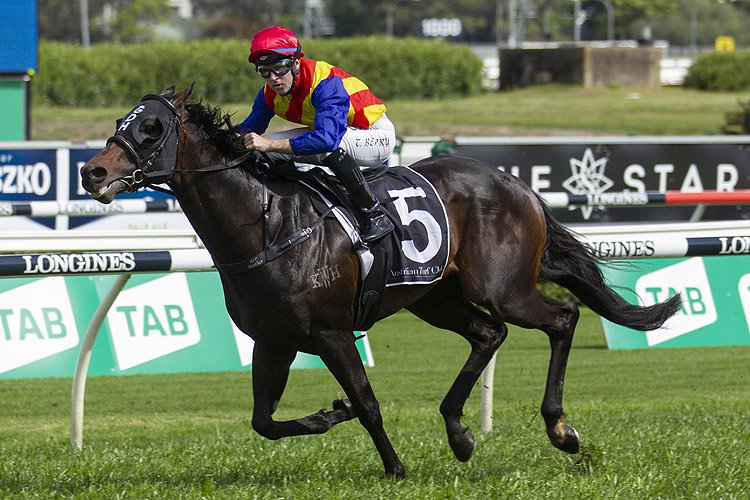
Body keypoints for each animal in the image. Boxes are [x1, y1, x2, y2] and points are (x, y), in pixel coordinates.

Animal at [79, 85, 684, 476]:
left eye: (151, 127)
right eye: (122, 121)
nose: (92, 171)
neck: (268, 223)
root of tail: (518, 184)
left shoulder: (330, 333)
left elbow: (368, 402)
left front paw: (394, 467)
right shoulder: (273, 340)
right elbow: (264, 422)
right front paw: (331, 413)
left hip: (502, 289)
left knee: (562, 317)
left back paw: (560, 429)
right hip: (434, 297)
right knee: (489, 334)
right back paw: (459, 433)